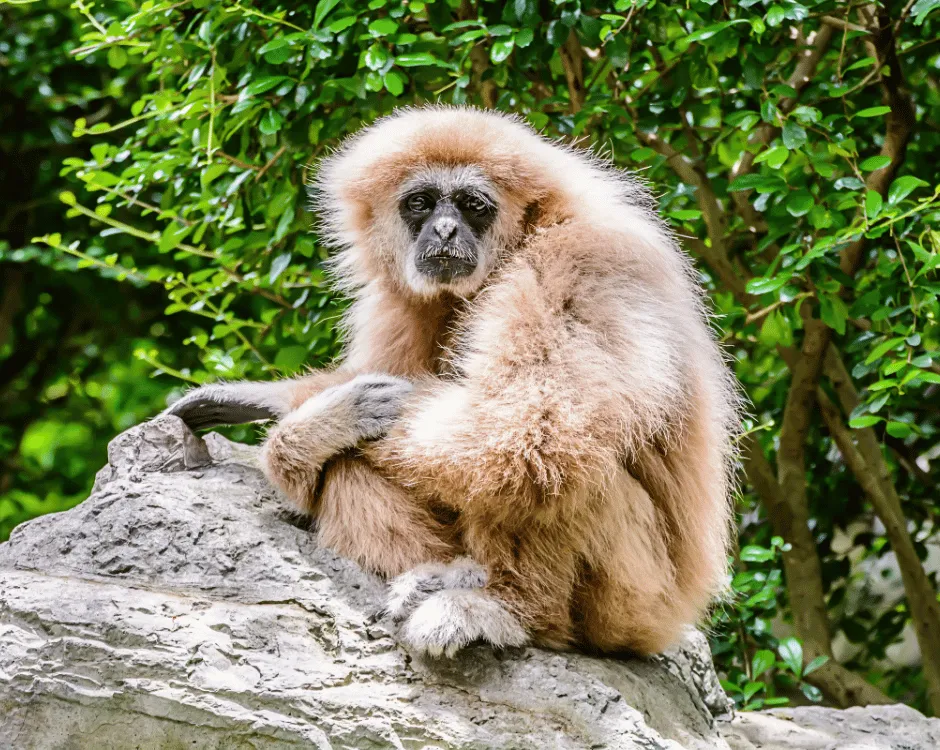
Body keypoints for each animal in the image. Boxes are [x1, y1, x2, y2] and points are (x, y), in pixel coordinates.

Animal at [162, 106, 741, 658]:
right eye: (420, 203)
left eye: (471, 205)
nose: (443, 230)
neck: (525, 241)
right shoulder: (403, 299)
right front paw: (282, 407)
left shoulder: (580, 263)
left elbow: (531, 430)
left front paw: (300, 433)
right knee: (352, 462)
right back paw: (437, 574)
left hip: (636, 597)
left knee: (550, 464)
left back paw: (506, 610)